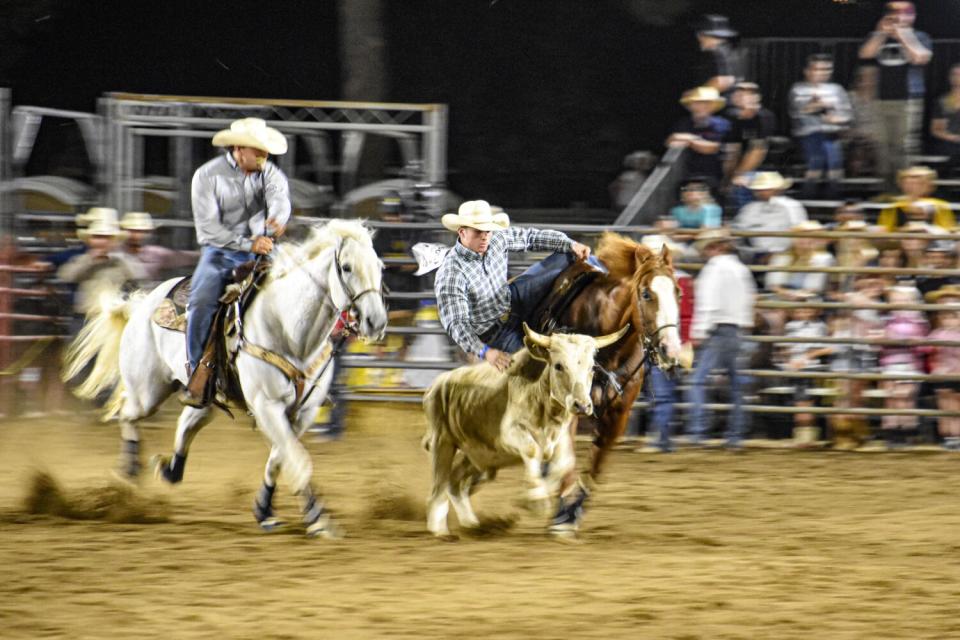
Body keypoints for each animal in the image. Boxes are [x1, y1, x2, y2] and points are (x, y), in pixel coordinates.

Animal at [63, 220, 388, 536]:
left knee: (187, 423)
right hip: (147, 391)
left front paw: (265, 510)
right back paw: (128, 474)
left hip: (203, 393)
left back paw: (168, 469)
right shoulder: (267, 406)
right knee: (126, 412)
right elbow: (298, 460)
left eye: (379, 266)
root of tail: (141, 304)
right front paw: (318, 518)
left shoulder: (302, 414)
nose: (376, 322)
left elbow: (280, 459)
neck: (290, 331)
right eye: (346, 266)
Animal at [548, 232, 684, 532]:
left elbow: (596, 467)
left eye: (678, 292)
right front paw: (562, 515)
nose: (670, 350)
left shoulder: (618, 415)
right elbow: (566, 459)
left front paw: (573, 511)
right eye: (646, 293)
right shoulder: (568, 409)